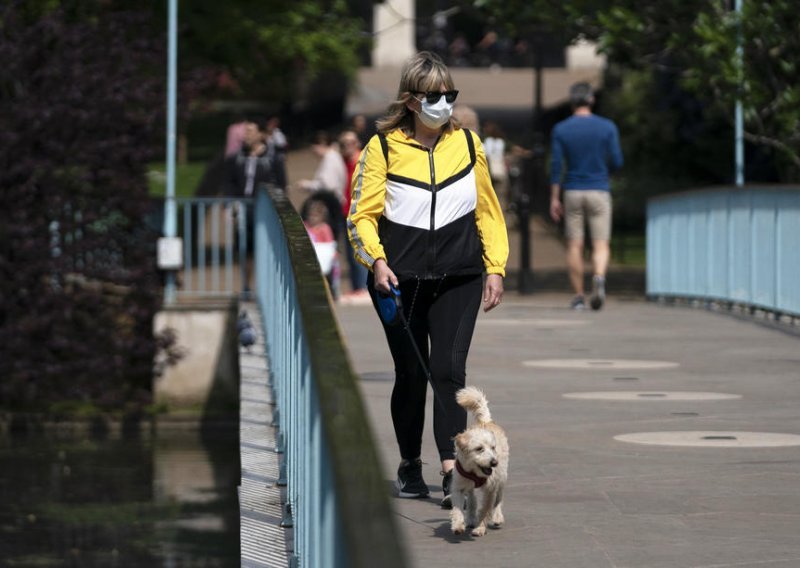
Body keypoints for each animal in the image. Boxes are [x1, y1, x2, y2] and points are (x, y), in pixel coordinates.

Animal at [446, 386, 510, 536]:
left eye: (493, 448)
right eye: (479, 449)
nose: (494, 462)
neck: (474, 472)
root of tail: (486, 421)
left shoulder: (490, 489)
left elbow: (486, 509)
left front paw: (480, 528)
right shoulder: (458, 486)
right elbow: (458, 508)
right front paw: (458, 525)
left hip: (501, 477)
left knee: (498, 499)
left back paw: (497, 517)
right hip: (470, 487)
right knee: (472, 500)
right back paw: (470, 518)